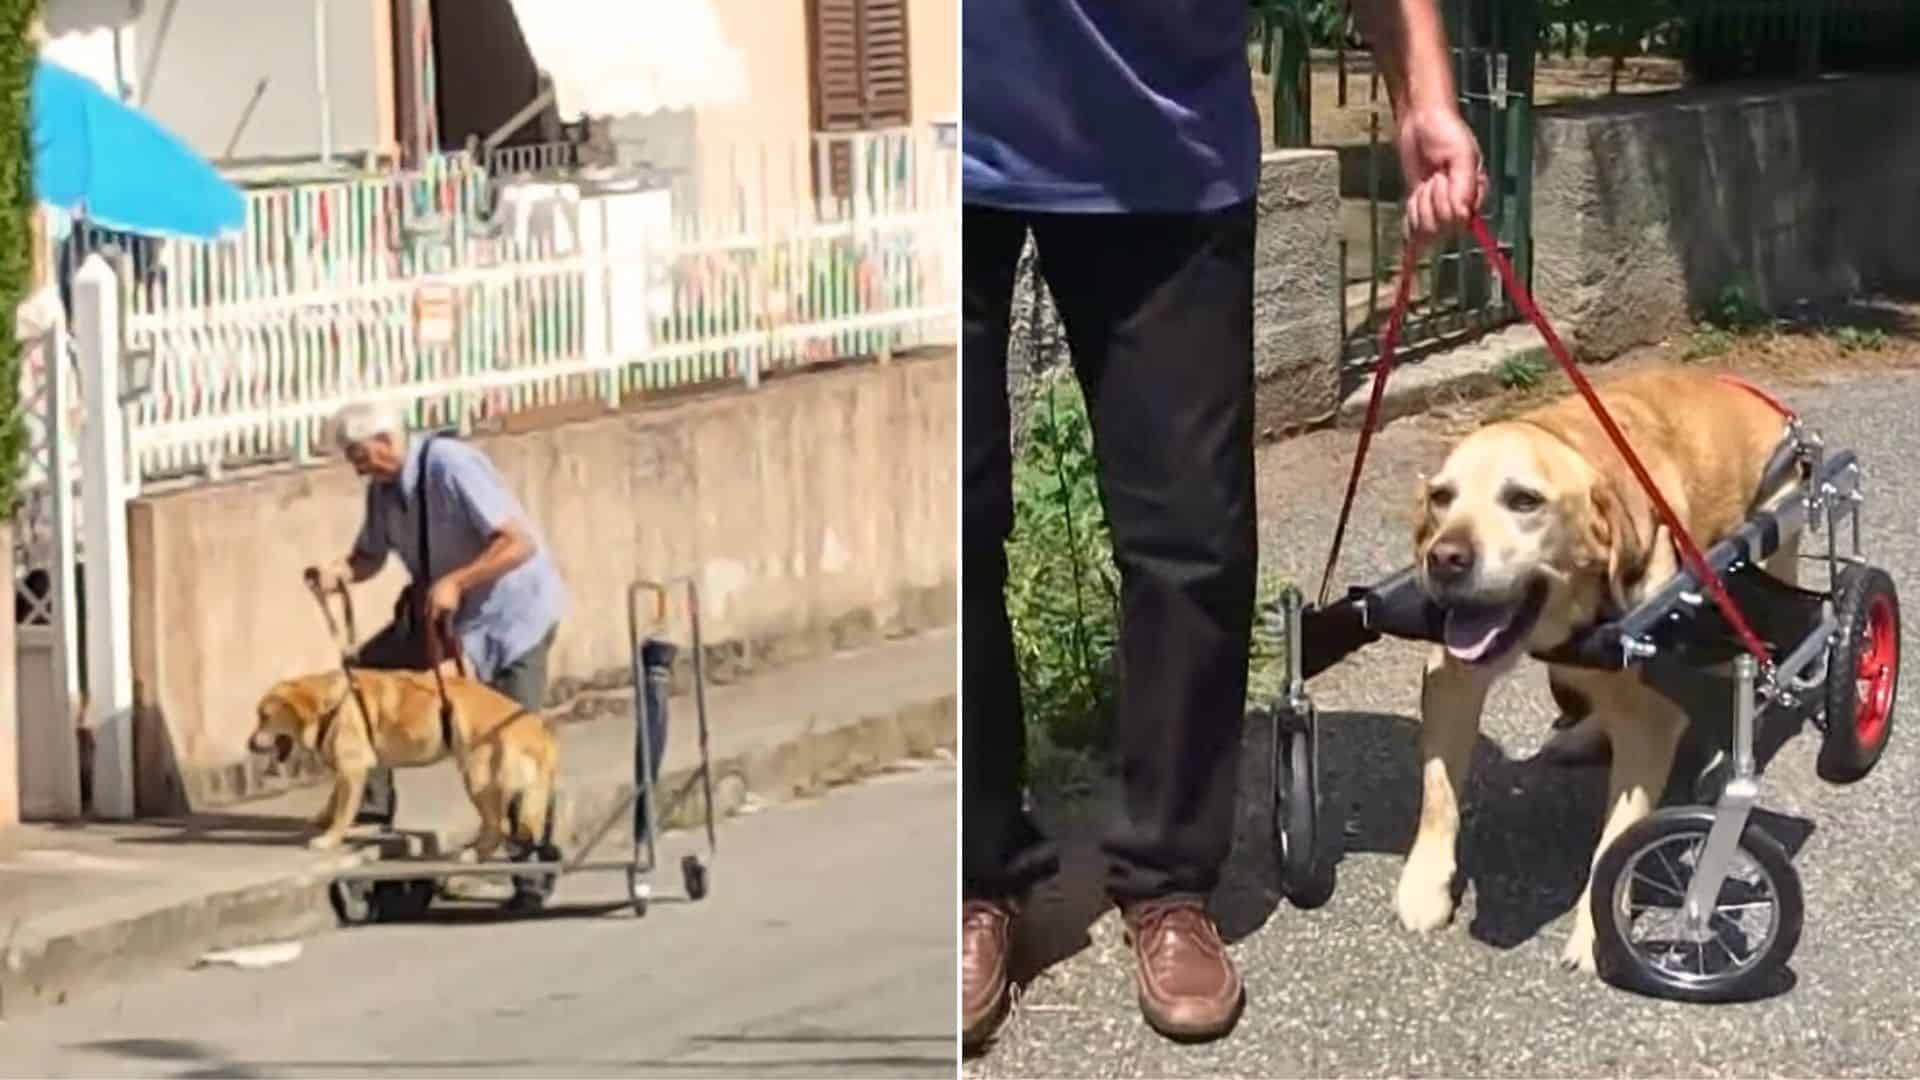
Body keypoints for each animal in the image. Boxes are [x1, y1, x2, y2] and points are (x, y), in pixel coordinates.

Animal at [251, 580, 560, 857]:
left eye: (264, 717)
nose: (250, 745)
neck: (331, 704)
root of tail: (538, 729)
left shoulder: (353, 768)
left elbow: (343, 811)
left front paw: (330, 839)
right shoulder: (347, 768)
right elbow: (334, 798)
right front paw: (322, 819)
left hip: (478, 776)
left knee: (499, 825)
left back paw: (474, 854)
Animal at [1397, 365, 1797, 972]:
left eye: (1523, 500)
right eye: (1442, 497)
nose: (1443, 558)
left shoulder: (1651, 718)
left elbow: (1617, 840)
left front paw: (1596, 932)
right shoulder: (1451, 674)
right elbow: (1439, 792)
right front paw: (1426, 885)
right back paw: (1582, 735)